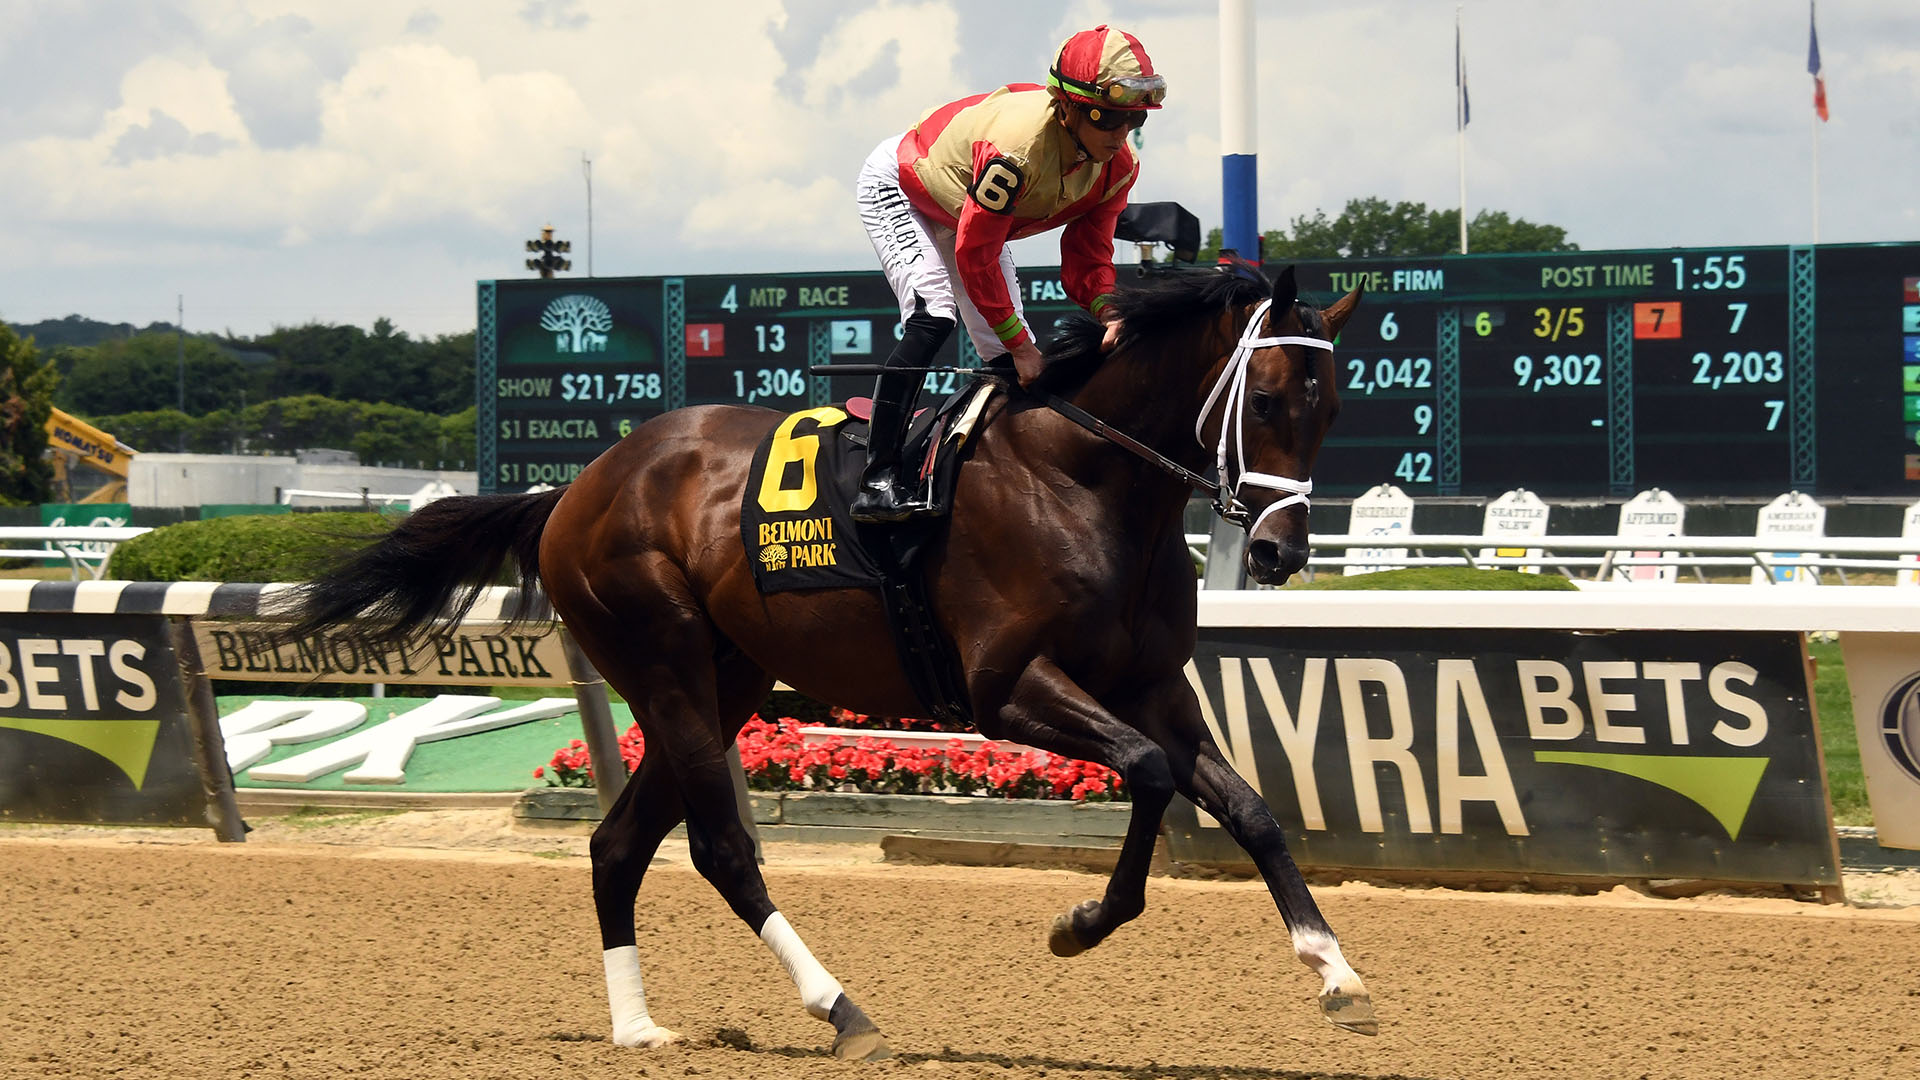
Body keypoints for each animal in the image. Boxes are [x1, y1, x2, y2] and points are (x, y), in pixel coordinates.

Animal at [280, 265, 1367, 1053]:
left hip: (724, 682)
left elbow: (1252, 809)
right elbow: (1143, 773)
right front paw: (1083, 920)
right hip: (665, 662)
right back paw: (840, 1008)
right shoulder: (1008, 690)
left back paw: (638, 1027)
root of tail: (575, 489)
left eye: (1331, 407)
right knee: (721, 849)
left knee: (617, 845)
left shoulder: (1151, 686)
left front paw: (1335, 967)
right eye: (1269, 398)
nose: (1280, 551)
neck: (1082, 480)